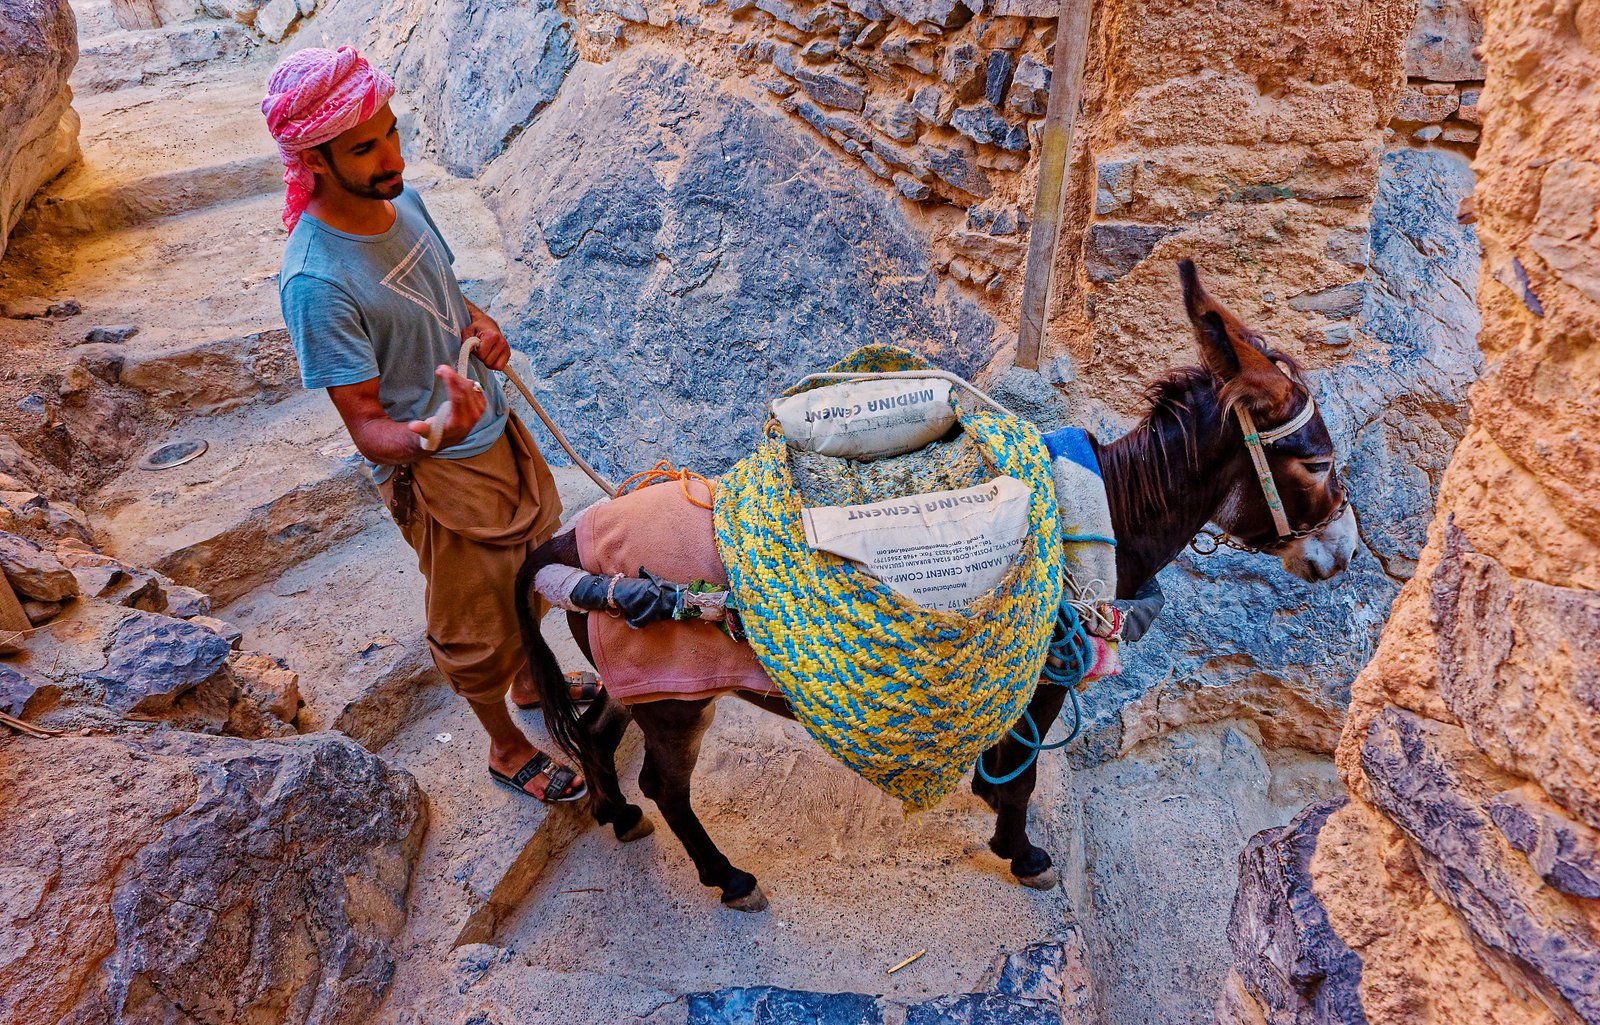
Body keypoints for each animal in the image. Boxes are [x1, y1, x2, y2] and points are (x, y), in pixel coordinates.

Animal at [513, 260, 1357, 912]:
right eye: (1316, 463)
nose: (1345, 552)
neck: (1099, 509)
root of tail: (574, 536)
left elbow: (1008, 763)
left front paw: (998, 818)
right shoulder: (1044, 674)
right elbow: (1023, 773)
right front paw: (1023, 852)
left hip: (642, 684)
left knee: (596, 734)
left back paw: (616, 813)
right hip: (678, 700)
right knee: (667, 782)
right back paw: (728, 877)